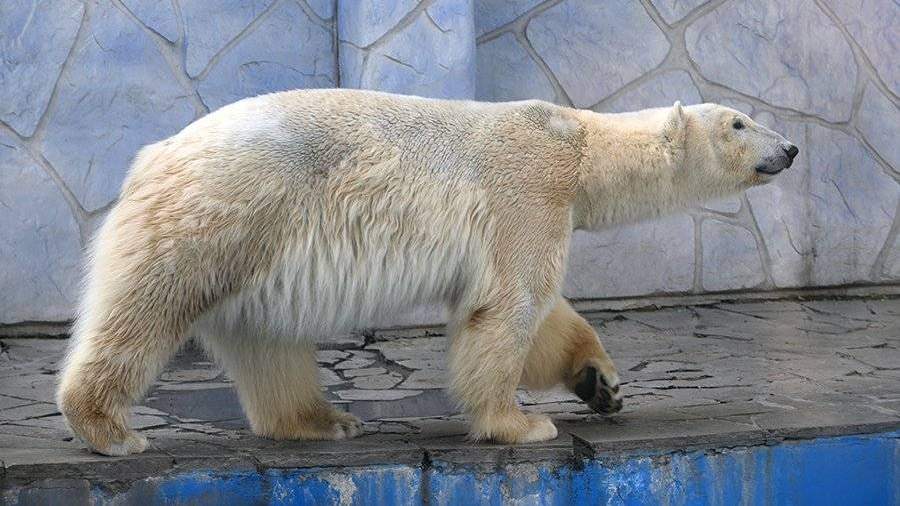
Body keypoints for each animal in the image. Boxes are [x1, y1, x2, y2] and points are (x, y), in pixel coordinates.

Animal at [56, 89, 798, 456]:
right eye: (739, 122)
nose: (790, 148)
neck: (577, 144)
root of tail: (152, 155)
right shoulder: (526, 191)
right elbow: (508, 307)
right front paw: (520, 425)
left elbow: (542, 314)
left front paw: (600, 385)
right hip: (222, 211)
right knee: (147, 304)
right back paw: (110, 429)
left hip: (258, 247)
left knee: (267, 342)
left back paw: (322, 421)